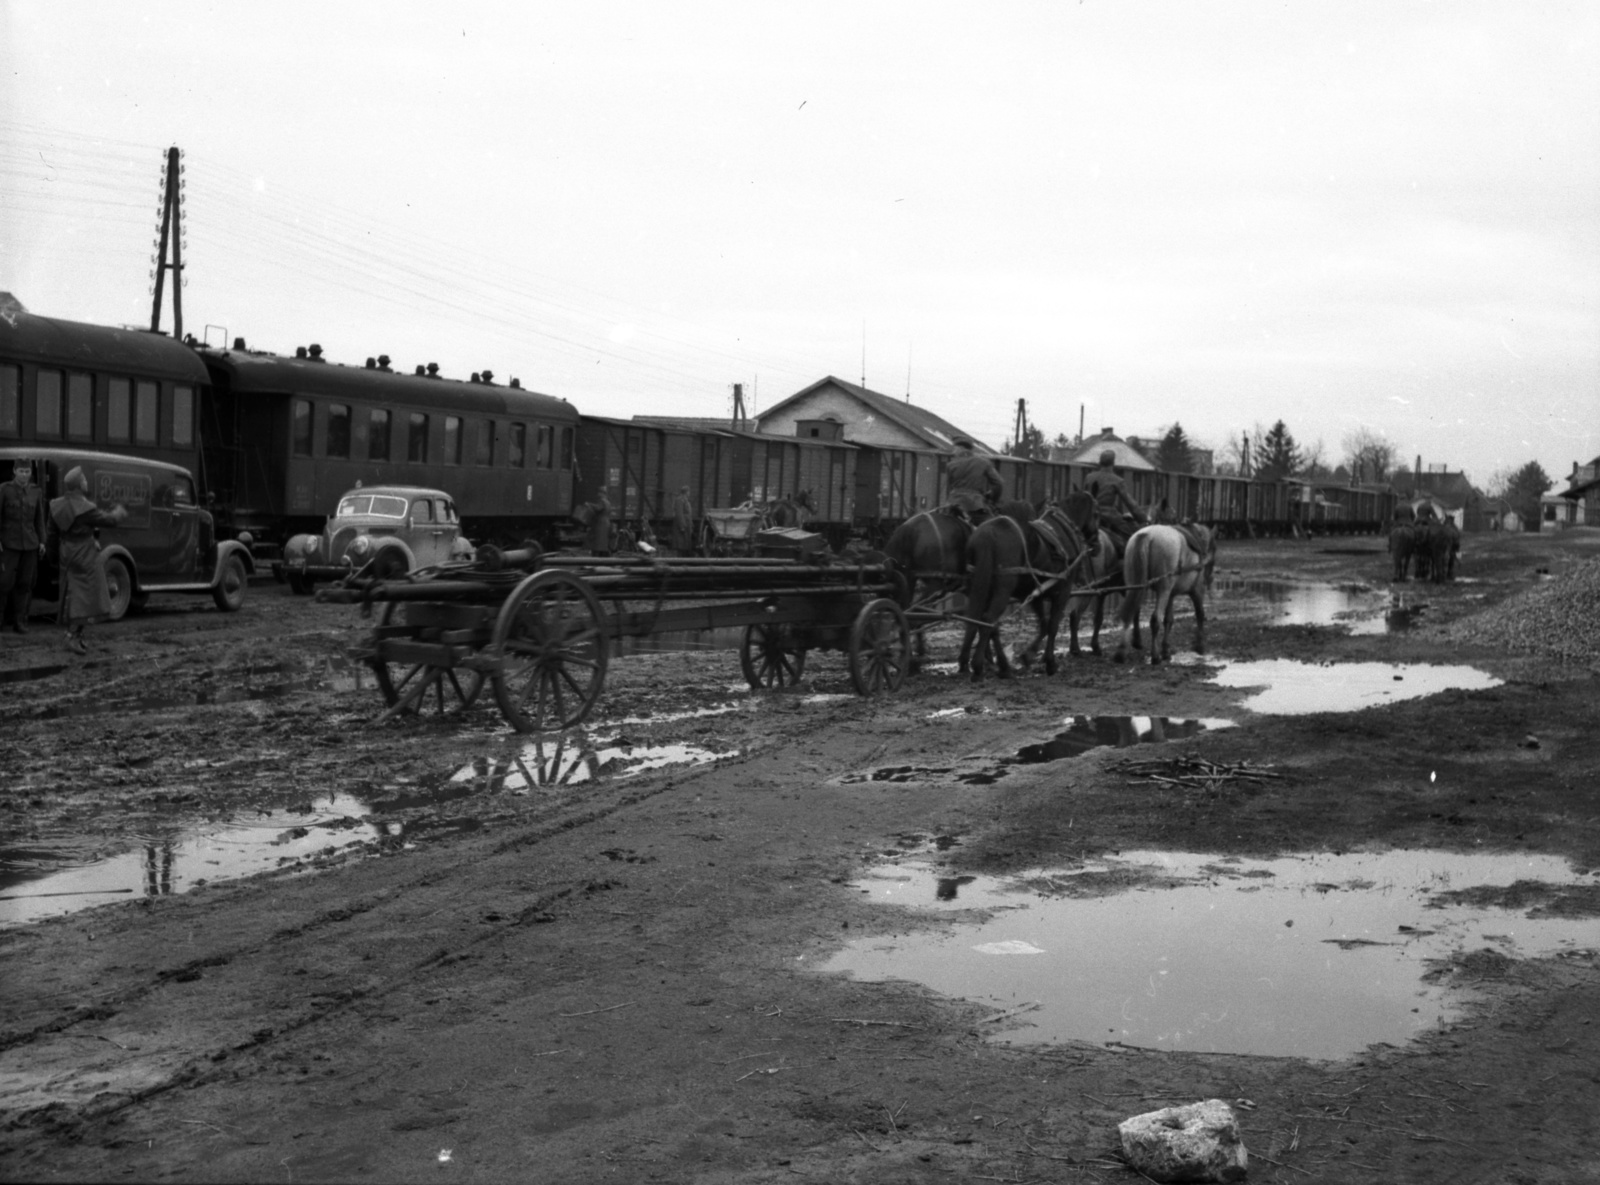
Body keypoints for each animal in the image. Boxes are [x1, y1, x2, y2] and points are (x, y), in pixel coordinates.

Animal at [953, 486, 1094, 674]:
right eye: (1097, 512)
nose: (1096, 541)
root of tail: (986, 534)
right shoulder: (1062, 592)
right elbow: (1053, 625)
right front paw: (1049, 662)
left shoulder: (1036, 594)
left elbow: (1044, 625)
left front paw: (1029, 655)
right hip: (1002, 590)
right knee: (988, 620)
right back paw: (982, 666)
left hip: (980, 587)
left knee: (978, 620)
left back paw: (978, 663)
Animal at [1113, 521, 1209, 662]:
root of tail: (1148, 535)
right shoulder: (1196, 590)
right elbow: (1200, 614)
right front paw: (1200, 645)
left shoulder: (1170, 594)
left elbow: (1168, 620)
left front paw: (1165, 649)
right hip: (1163, 590)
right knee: (1155, 619)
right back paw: (1155, 656)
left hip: (1135, 585)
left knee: (1131, 612)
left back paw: (1124, 649)